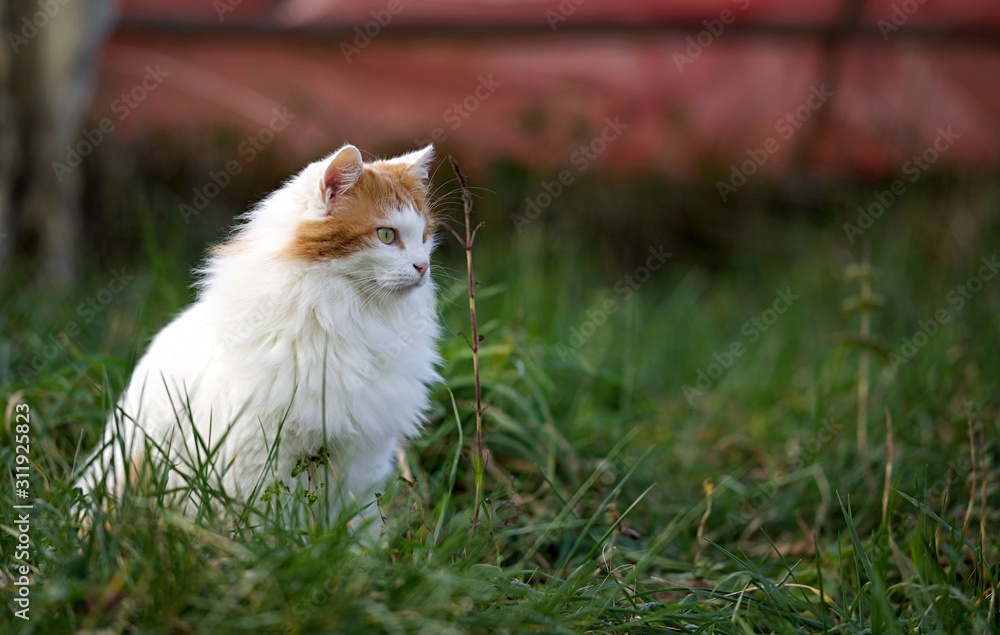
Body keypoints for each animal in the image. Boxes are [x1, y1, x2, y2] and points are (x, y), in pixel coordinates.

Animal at [74, 144, 442, 532]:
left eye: (425, 236)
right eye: (386, 235)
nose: (423, 266)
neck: (343, 314)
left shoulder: (363, 455)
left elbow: (353, 521)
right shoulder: (259, 453)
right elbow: (267, 522)